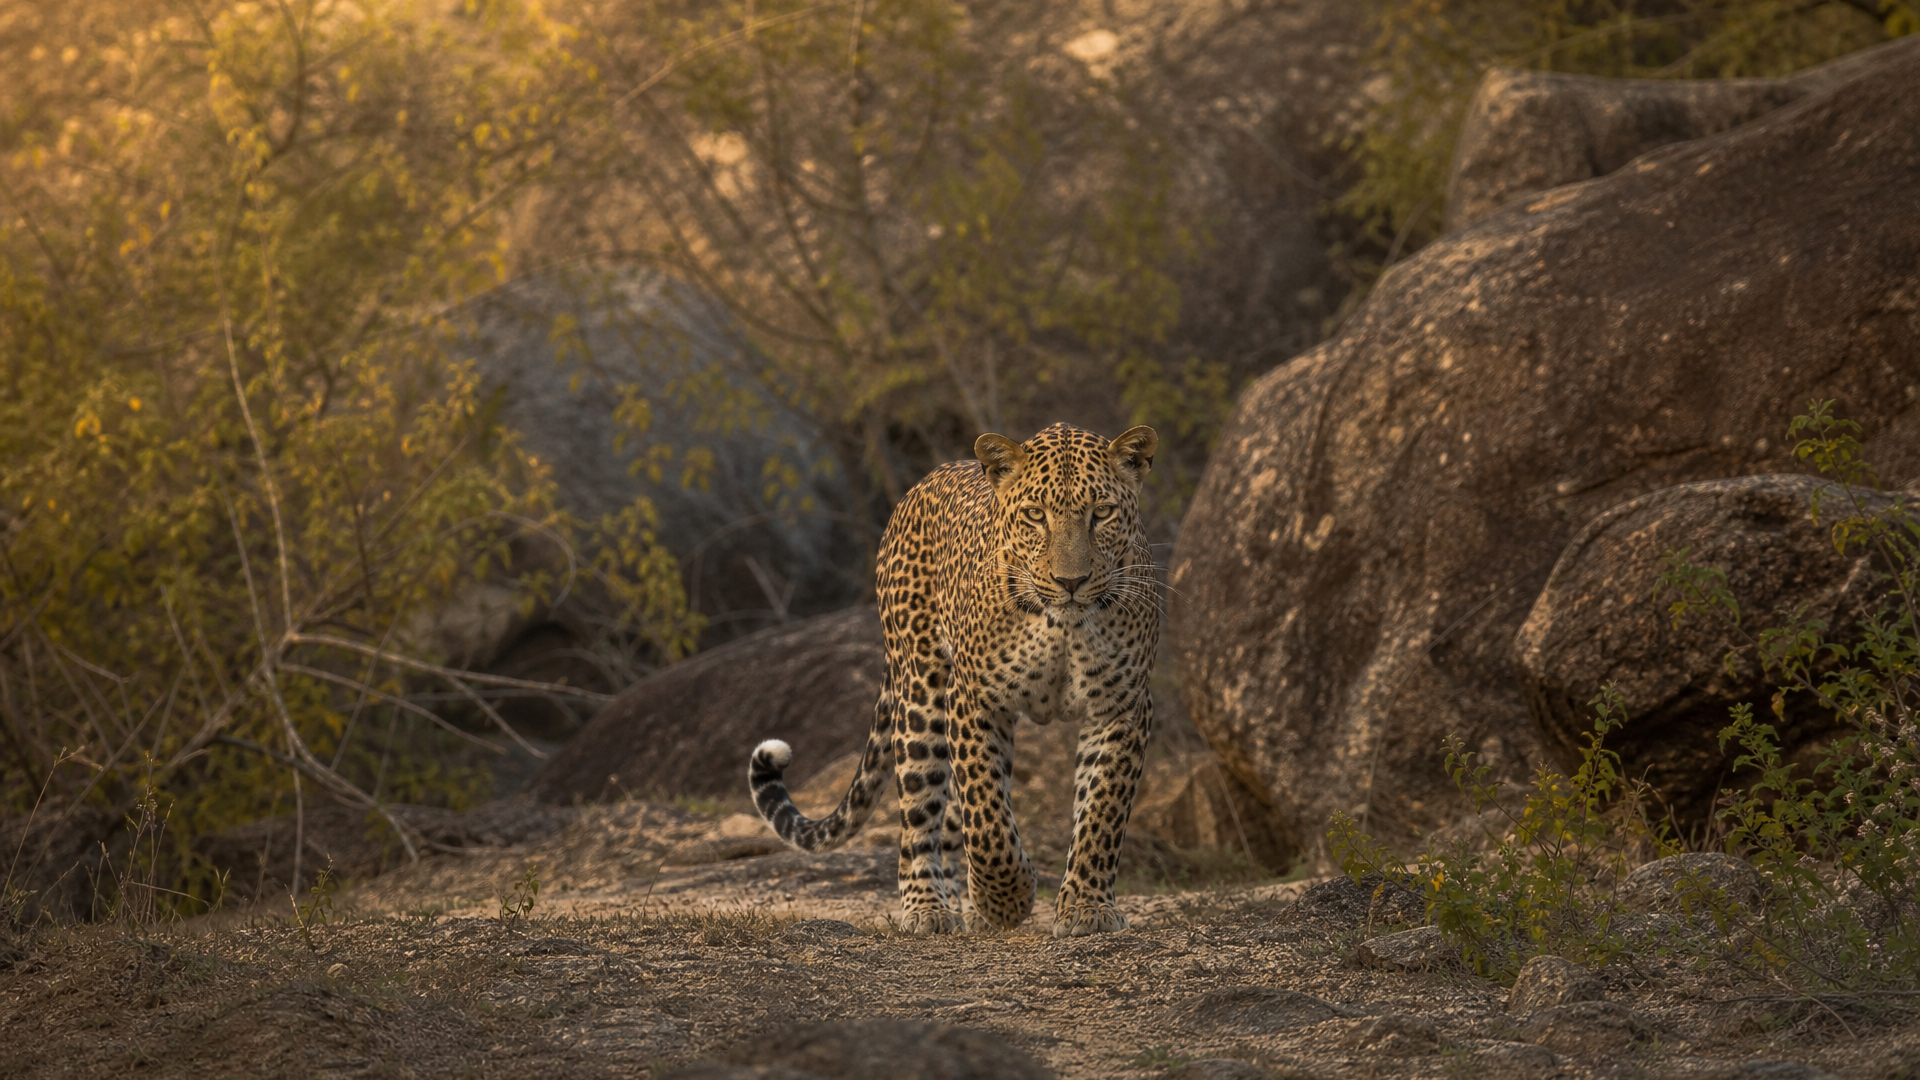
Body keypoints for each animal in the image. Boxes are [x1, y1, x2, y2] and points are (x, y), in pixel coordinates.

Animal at [747, 422, 1162, 936]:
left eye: (1101, 513)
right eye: (1035, 515)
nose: (1071, 582)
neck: (1061, 625)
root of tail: (921, 486)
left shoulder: (1121, 706)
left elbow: (1102, 811)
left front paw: (1087, 907)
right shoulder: (973, 700)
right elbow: (985, 815)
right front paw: (1007, 899)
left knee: (948, 824)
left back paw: (965, 911)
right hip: (921, 695)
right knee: (920, 818)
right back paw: (929, 909)